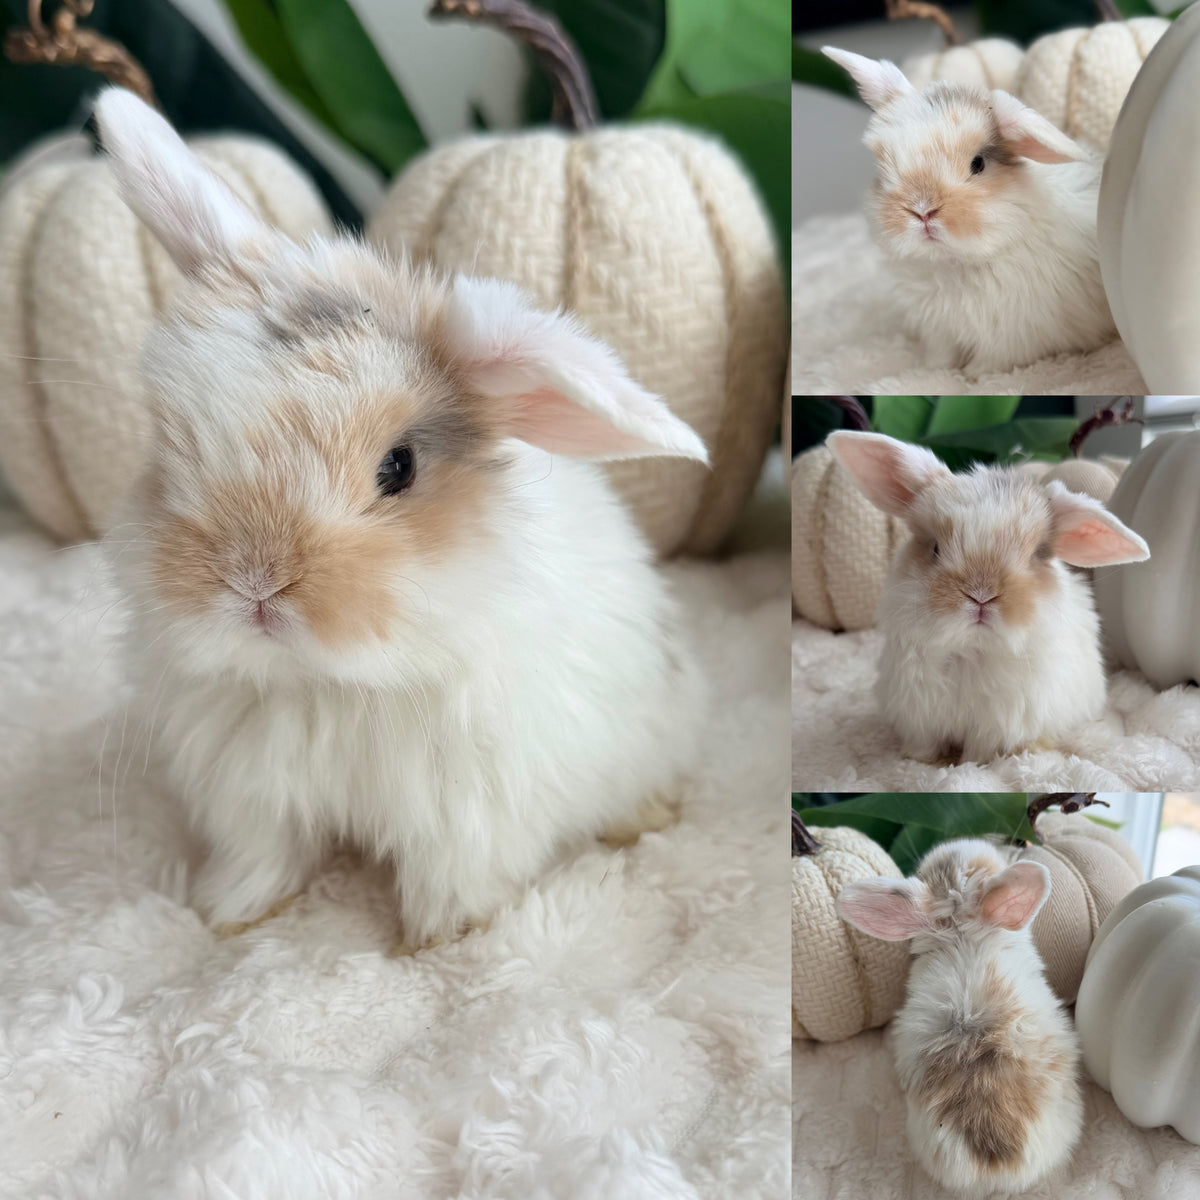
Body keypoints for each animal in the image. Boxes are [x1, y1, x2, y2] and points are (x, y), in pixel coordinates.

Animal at [91, 88, 710, 947]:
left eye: (398, 467)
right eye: (172, 443)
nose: (253, 583)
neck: (326, 685)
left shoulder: (468, 815)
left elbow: (450, 880)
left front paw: (437, 940)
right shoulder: (255, 801)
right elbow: (261, 860)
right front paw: (228, 916)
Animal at [822, 47, 1115, 375]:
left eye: (978, 164)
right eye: (885, 164)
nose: (922, 210)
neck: (955, 263)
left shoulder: (1011, 337)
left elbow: (990, 362)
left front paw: (973, 376)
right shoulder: (941, 329)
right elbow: (942, 356)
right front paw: (933, 370)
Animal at [826, 431, 1149, 763]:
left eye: (1036, 555)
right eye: (935, 548)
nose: (981, 596)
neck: (971, 649)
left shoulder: (992, 729)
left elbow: (976, 755)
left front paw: (965, 767)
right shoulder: (919, 719)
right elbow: (924, 747)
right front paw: (918, 761)